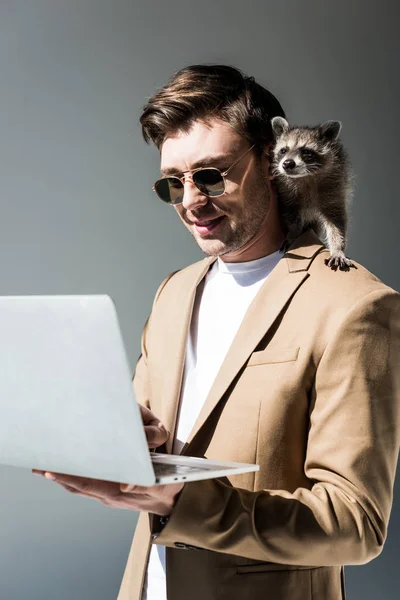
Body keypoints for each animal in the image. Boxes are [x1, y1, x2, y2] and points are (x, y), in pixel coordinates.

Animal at [268, 115, 354, 270]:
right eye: (283, 150)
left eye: (306, 151)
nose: (287, 164)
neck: (306, 176)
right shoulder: (286, 191)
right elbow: (291, 213)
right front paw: (294, 232)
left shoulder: (334, 188)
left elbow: (336, 220)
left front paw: (337, 248)